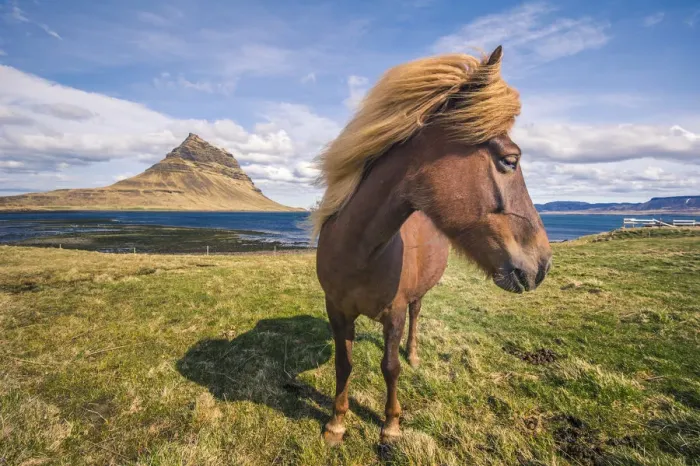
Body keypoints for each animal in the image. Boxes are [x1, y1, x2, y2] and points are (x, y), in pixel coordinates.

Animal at [312, 45, 552, 445]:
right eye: (510, 160)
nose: (543, 263)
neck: (360, 252)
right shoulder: (337, 310)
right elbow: (343, 364)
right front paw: (336, 422)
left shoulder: (393, 313)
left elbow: (389, 366)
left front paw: (391, 425)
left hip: (417, 296)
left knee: (416, 316)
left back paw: (414, 355)